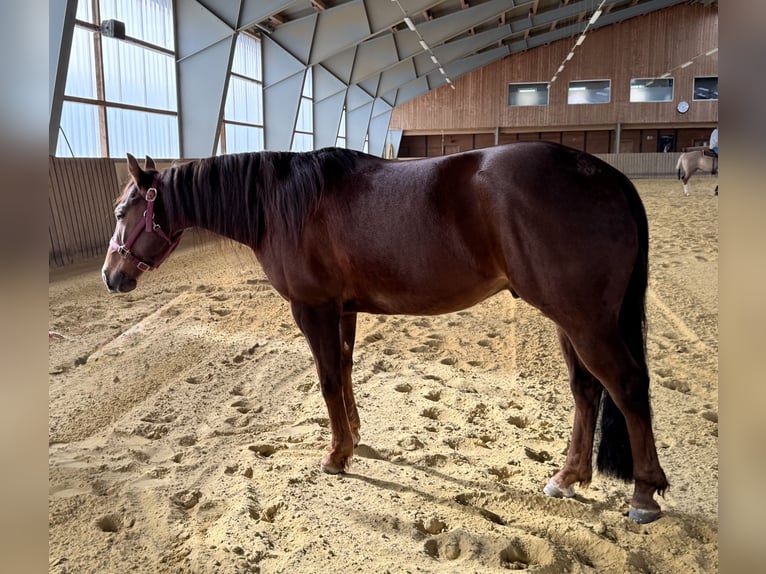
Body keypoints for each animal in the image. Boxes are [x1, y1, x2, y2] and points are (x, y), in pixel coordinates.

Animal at [101, 142, 669, 523]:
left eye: (122, 210)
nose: (111, 276)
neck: (283, 203)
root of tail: (606, 175)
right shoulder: (342, 309)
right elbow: (346, 370)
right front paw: (354, 437)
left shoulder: (312, 309)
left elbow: (328, 377)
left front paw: (335, 456)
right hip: (569, 321)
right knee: (587, 390)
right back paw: (567, 478)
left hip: (585, 321)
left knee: (627, 386)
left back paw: (643, 494)